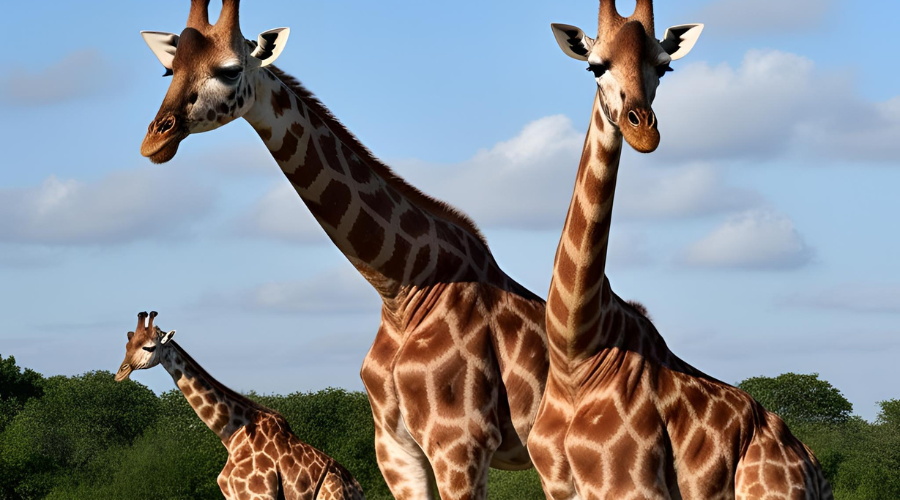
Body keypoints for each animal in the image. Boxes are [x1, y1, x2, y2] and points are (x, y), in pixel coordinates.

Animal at [115, 311, 365, 500]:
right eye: (127, 345)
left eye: (149, 348)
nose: (120, 373)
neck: (229, 434)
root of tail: (358, 490)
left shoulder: (259, 494)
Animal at [528, 1, 833, 499]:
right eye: (595, 66)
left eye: (664, 66)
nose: (644, 133)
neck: (577, 349)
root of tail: (812, 466)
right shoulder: (557, 487)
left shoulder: (635, 484)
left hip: (770, 493)